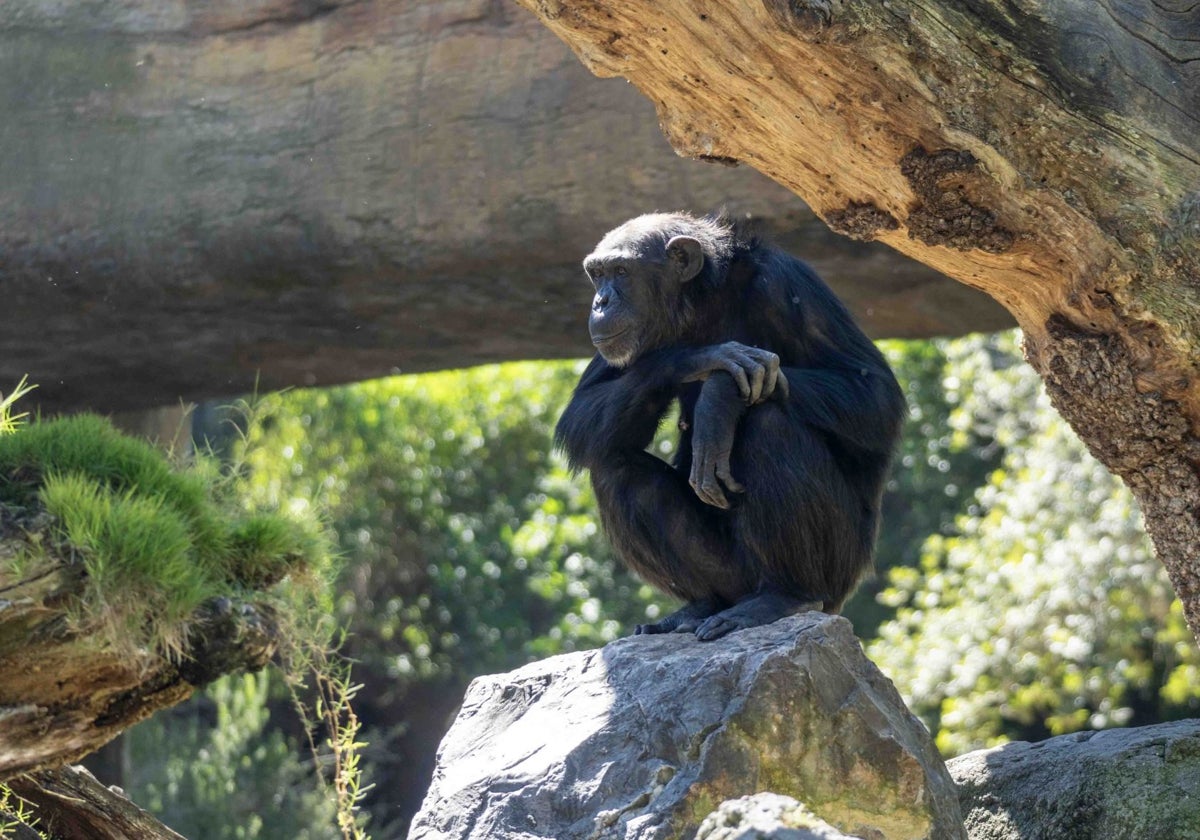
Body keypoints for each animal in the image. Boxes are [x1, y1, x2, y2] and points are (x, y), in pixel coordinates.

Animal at [552, 213, 902, 638]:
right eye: (597, 274)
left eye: (621, 272)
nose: (601, 302)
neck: (701, 302)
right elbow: (579, 413)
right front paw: (701, 359)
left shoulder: (788, 284)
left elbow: (873, 392)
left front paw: (720, 398)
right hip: (731, 575)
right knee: (614, 466)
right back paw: (699, 607)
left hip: (837, 573)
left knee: (770, 426)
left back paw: (784, 595)